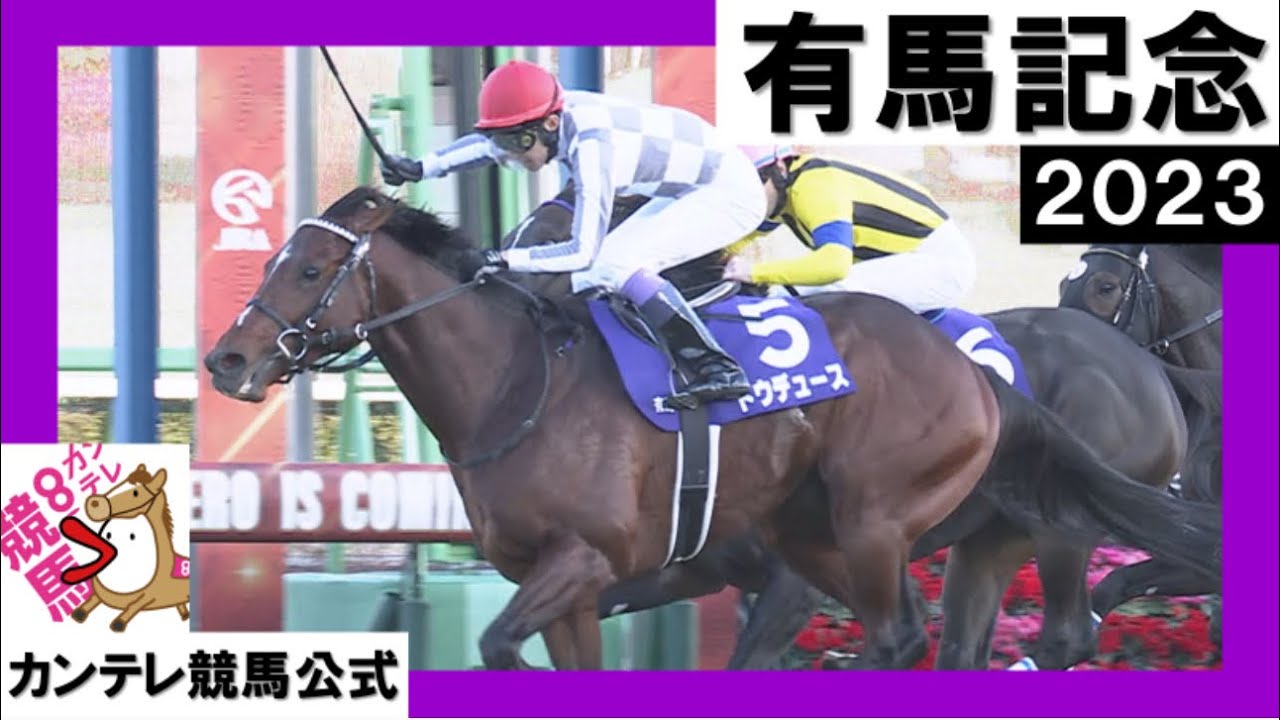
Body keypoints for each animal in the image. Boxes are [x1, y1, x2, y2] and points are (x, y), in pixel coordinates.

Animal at [59, 464, 191, 631]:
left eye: (136, 492)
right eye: (121, 482)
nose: (94, 503)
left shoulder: (149, 597)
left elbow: (133, 606)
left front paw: (118, 623)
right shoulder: (101, 595)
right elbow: (91, 601)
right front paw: (78, 613)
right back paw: (184, 615)